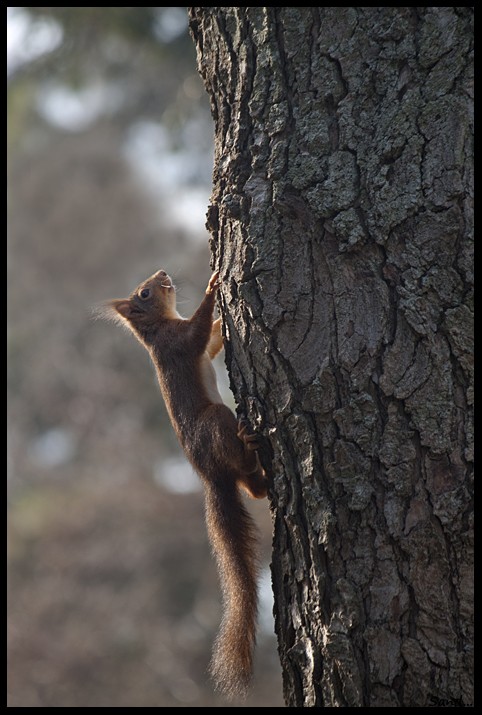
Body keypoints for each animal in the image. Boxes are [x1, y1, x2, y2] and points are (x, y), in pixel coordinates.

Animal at [102, 268, 268, 700]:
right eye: (144, 293)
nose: (162, 273)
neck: (159, 326)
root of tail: (210, 476)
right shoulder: (177, 342)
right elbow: (196, 335)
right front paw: (214, 286)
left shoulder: (191, 344)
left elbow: (208, 343)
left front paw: (224, 320)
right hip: (216, 421)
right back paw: (249, 444)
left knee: (252, 488)